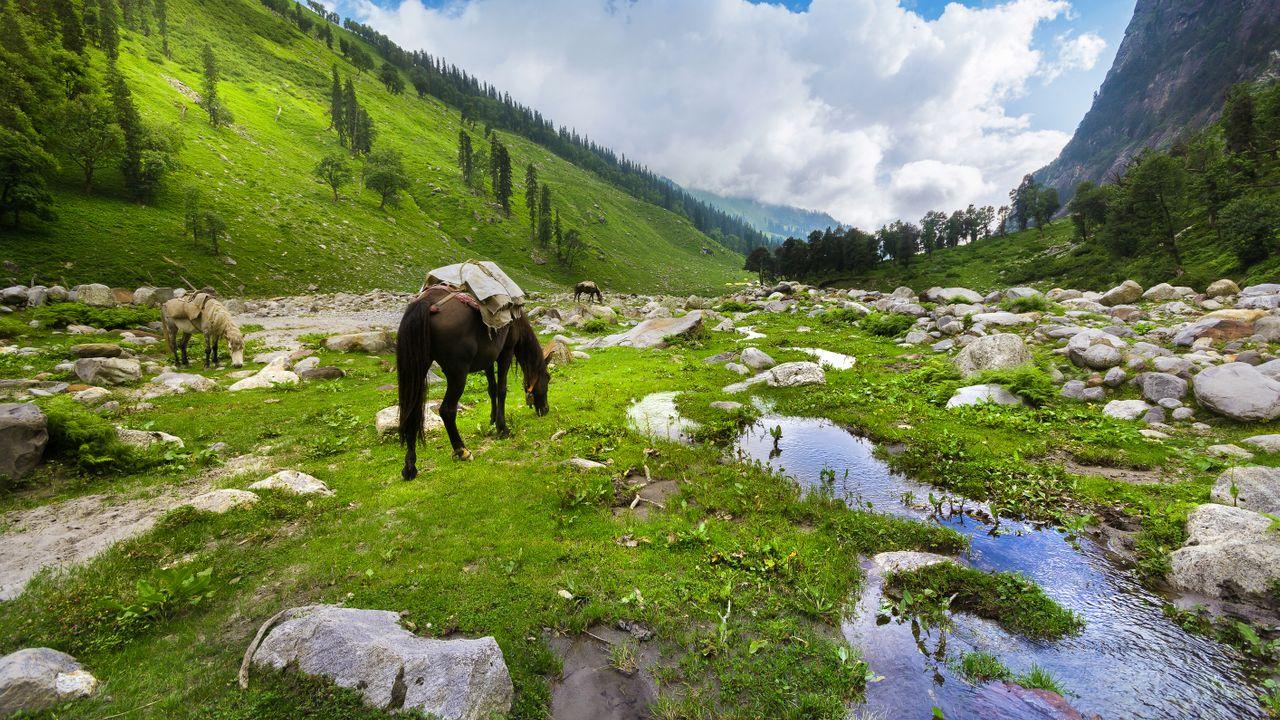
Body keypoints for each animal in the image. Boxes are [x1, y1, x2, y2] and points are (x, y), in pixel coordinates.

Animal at [396, 283, 552, 479]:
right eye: (548, 378)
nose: (545, 409)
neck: (515, 320)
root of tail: (427, 302)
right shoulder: (505, 353)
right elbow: (501, 389)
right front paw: (502, 428)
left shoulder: (488, 360)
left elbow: (492, 389)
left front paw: (492, 419)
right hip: (457, 374)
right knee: (446, 410)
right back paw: (462, 451)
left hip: (420, 367)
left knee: (411, 411)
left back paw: (410, 467)